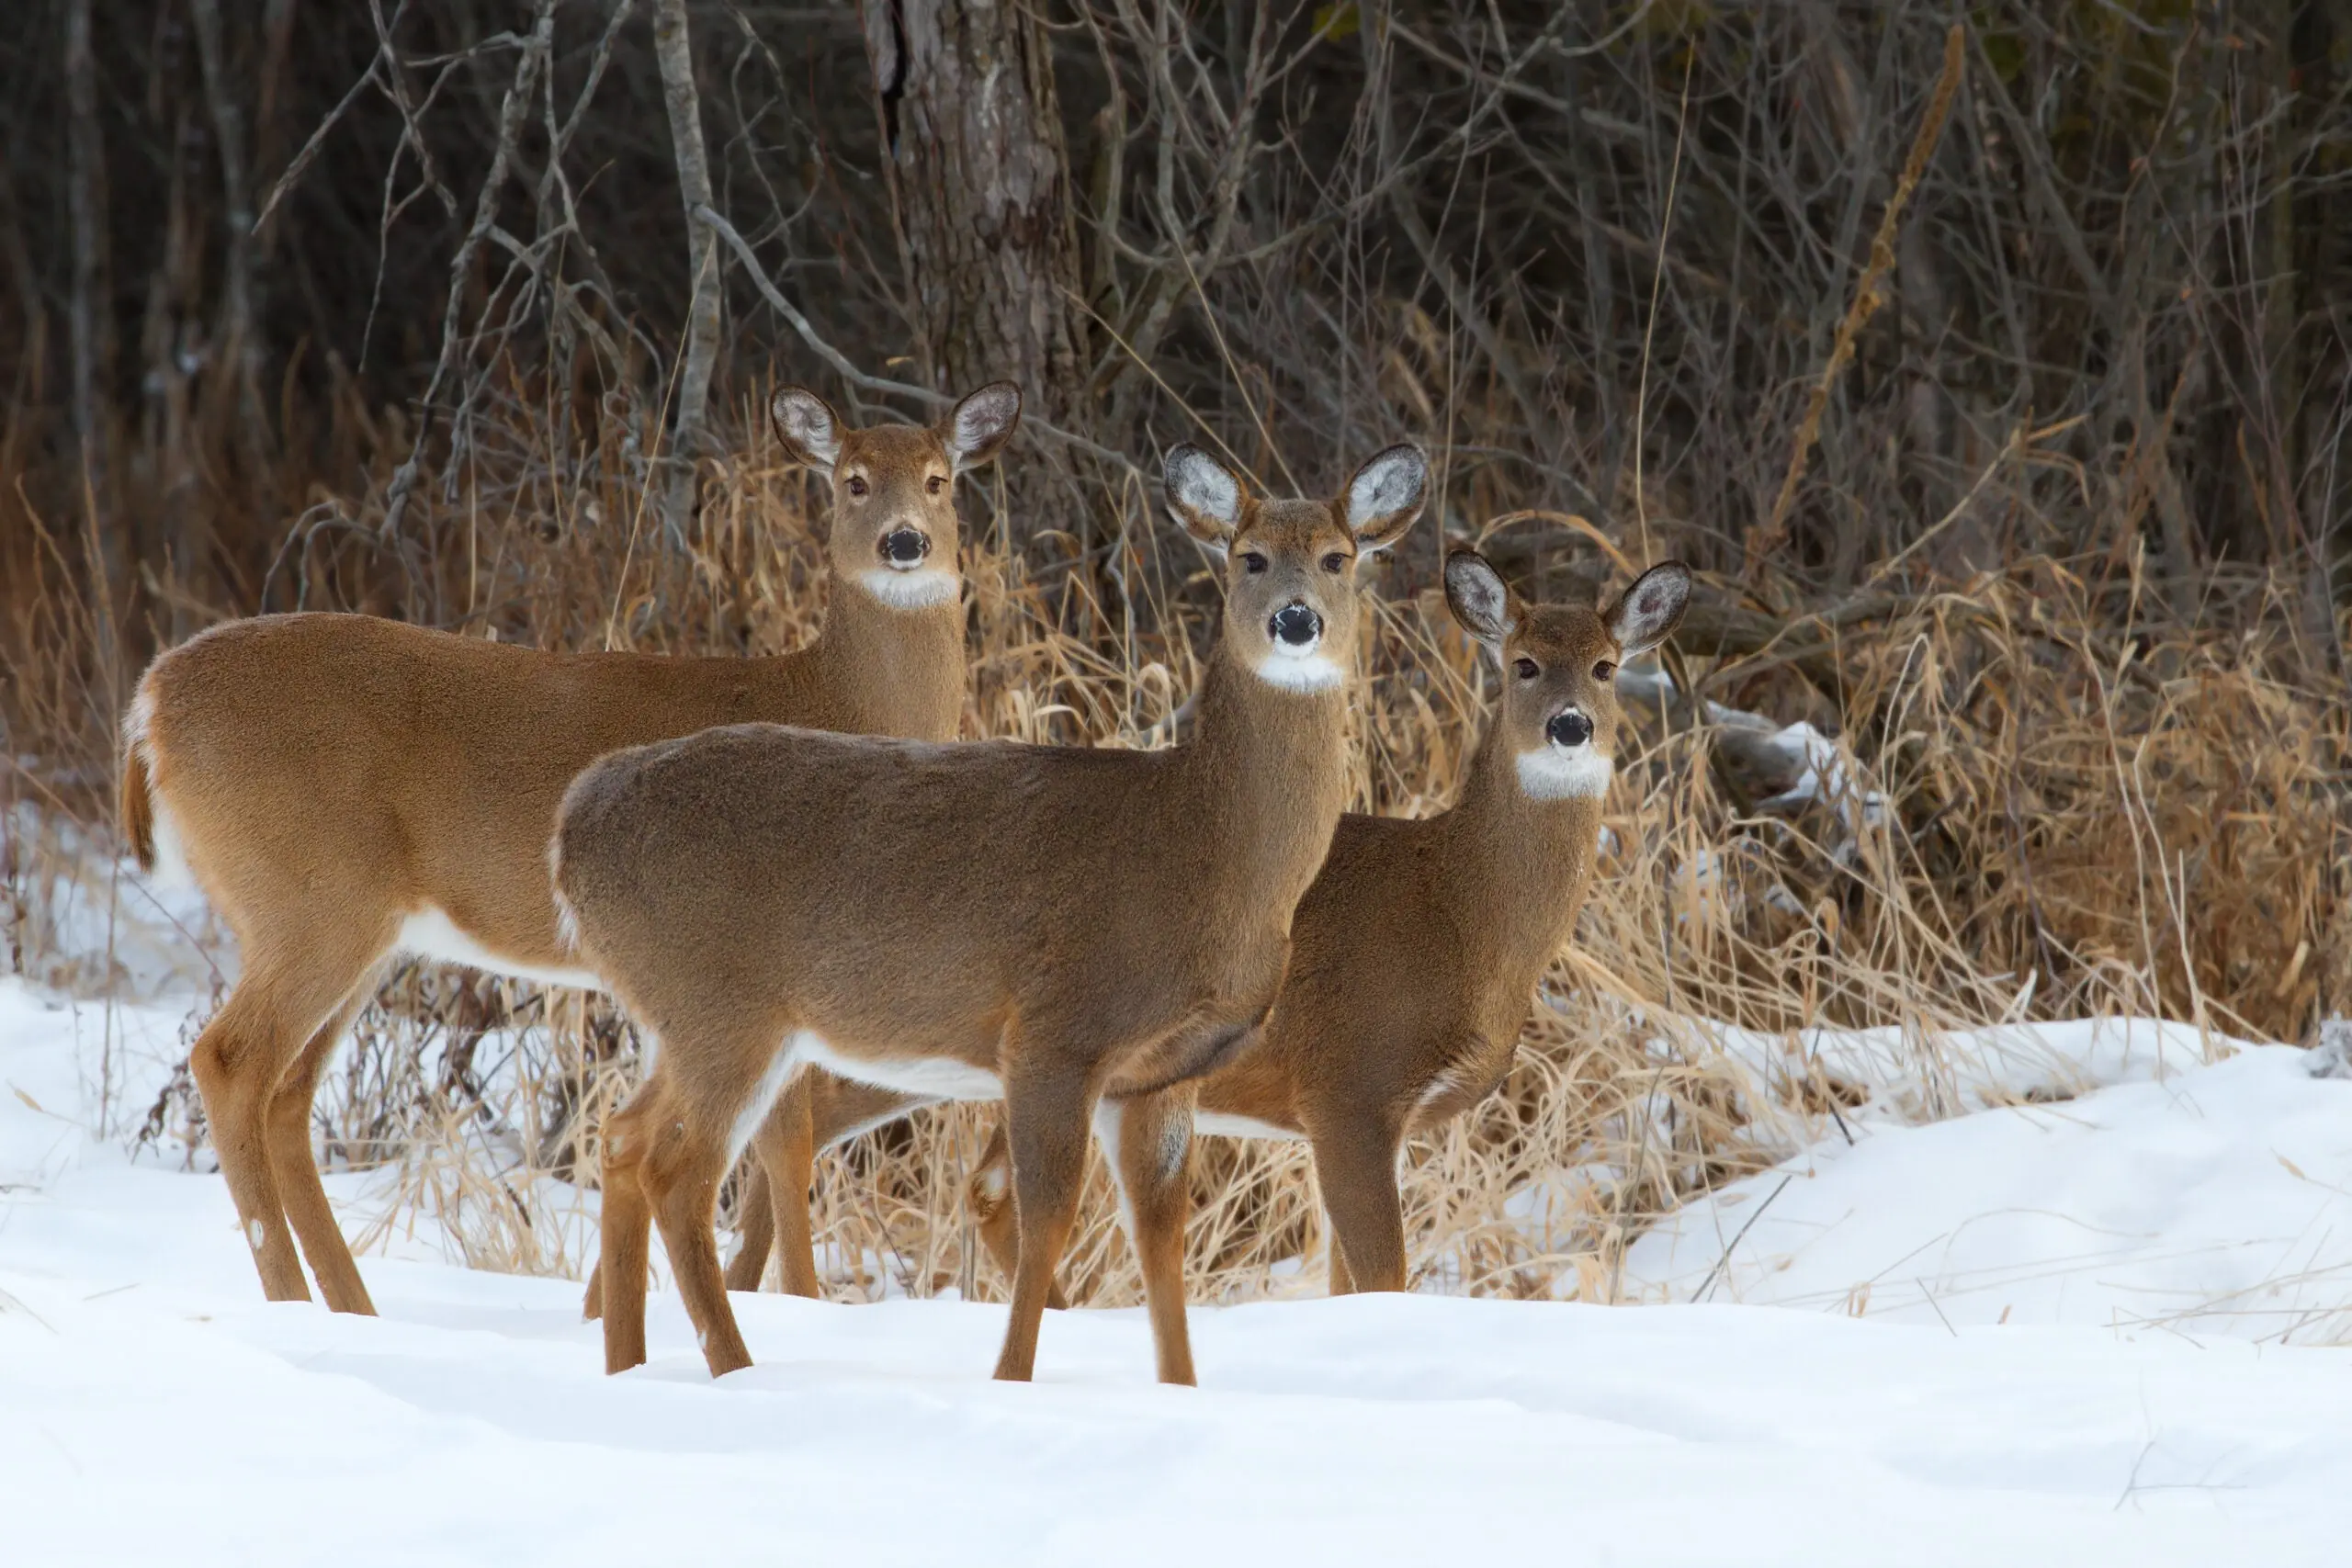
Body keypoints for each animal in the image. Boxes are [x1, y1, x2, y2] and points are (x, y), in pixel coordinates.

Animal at [117, 380, 1021, 1316]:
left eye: (940, 478)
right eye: (851, 481)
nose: (904, 542)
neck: (833, 701)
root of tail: (150, 702)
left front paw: (604, 1310)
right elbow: (785, 1143)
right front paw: (798, 1305)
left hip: (354, 924)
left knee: (288, 1094)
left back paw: (353, 1307)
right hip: (308, 895)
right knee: (230, 1063)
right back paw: (296, 1300)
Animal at [550, 434, 1430, 1382]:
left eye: (1339, 559)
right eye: (1249, 557)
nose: (1295, 621)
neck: (1203, 850)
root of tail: (574, 824)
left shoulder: (1164, 1072)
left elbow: (1161, 1240)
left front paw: (1180, 1388)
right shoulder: (1055, 1030)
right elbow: (1048, 1219)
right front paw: (1011, 1379)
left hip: (676, 1015)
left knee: (622, 1139)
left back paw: (629, 1364)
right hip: (723, 1003)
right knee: (678, 1169)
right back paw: (735, 1368)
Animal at [724, 545, 1683, 1306]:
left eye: (1606, 665)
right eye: (1522, 663)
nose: (1570, 726)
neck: (1459, 911)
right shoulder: (1350, 1086)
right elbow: (1382, 1276)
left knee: (970, 1185)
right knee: (795, 1120)